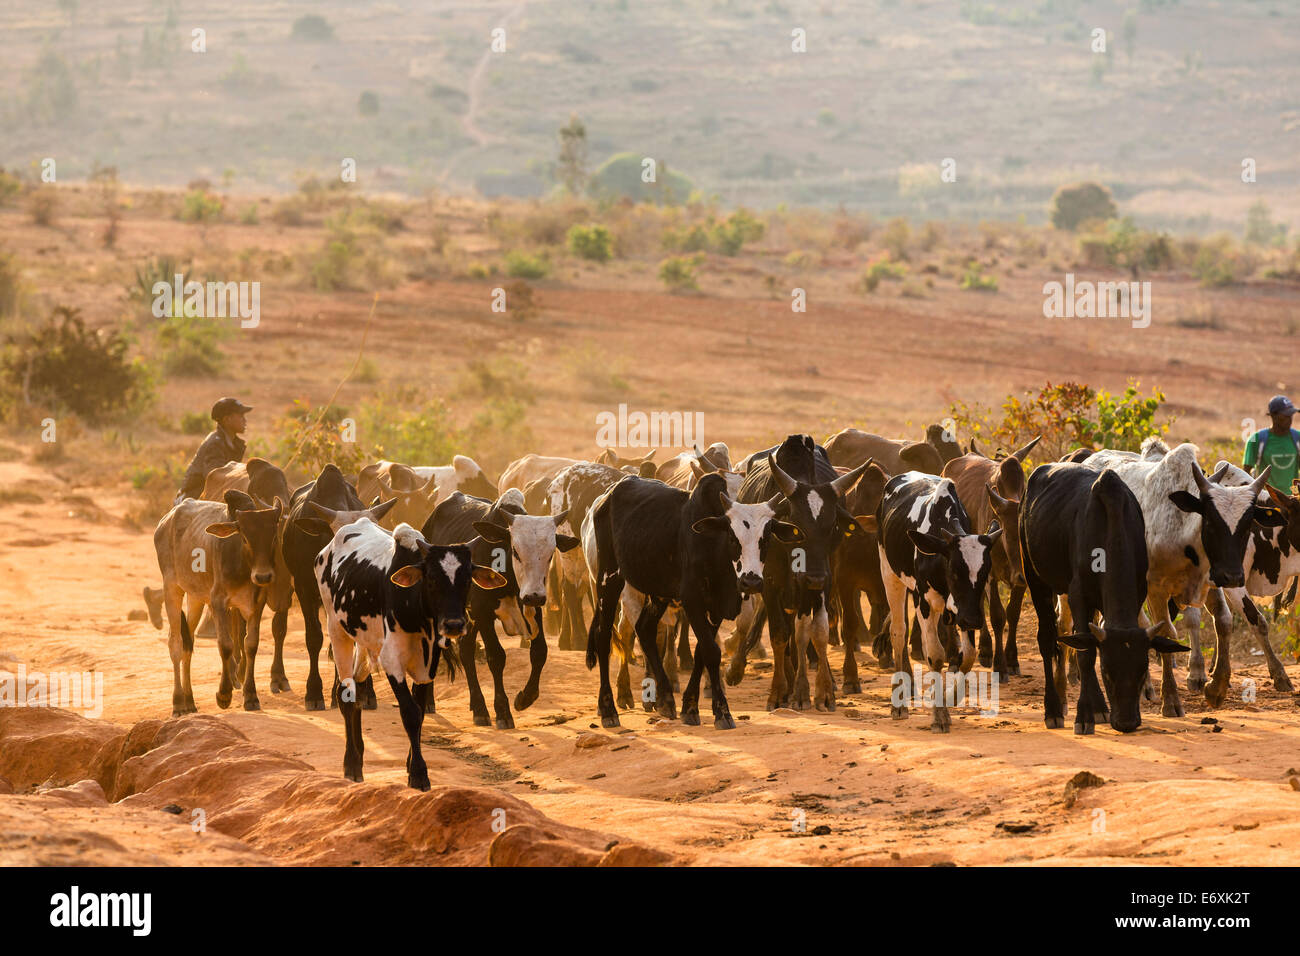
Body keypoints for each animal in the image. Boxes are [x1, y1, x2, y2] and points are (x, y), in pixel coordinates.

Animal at [314, 520, 506, 790]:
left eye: (467, 580)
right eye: (432, 579)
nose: (454, 624)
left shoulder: (428, 665)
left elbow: (420, 711)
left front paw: (410, 764)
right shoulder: (392, 660)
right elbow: (411, 713)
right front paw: (418, 773)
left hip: (365, 644)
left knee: (358, 688)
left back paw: (360, 753)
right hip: (337, 630)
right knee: (347, 696)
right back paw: (352, 765)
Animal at [423, 489, 577, 728]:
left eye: (551, 553)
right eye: (516, 550)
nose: (535, 595)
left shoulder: (532, 608)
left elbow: (539, 652)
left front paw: (524, 698)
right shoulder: (483, 613)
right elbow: (496, 657)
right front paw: (503, 711)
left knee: (466, 651)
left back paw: (478, 707)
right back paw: (431, 701)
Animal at [585, 476, 795, 728]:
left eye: (766, 538)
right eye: (733, 537)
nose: (751, 582)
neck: (714, 549)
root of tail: (607, 495)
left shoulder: (716, 608)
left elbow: (702, 653)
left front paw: (690, 707)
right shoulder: (692, 600)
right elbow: (711, 652)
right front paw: (722, 712)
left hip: (658, 592)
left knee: (645, 629)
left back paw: (666, 700)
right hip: (609, 578)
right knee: (603, 636)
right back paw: (608, 709)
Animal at [873, 473, 1003, 733]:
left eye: (985, 572)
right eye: (954, 570)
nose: (974, 620)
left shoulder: (964, 608)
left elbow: (968, 655)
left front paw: (950, 697)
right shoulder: (924, 600)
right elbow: (935, 654)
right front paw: (939, 716)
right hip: (889, 573)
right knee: (898, 632)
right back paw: (899, 704)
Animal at [1019, 468, 1190, 738]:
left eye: (1142, 672)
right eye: (1107, 673)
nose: (1127, 723)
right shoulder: (1078, 595)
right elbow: (1086, 655)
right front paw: (1083, 717)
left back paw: (1099, 708)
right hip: (1035, 578)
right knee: (1047, 640)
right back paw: (1054, 711)